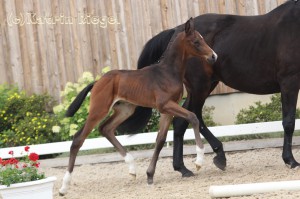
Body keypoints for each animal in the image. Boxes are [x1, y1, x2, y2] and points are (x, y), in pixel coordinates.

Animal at [59, 17, 217, 195]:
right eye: (196, 41)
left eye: (202, 39)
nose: (213, 56)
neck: (168, 72)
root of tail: (97, 81)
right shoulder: (165, 105)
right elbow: (193, 117)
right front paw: (199, 161)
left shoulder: (167, 109)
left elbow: (160, 139)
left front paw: (149, 175)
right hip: (99, 110)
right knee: (78, 138)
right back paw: (64, 187)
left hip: (125, 109)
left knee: (106, 129)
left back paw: (132, 169)